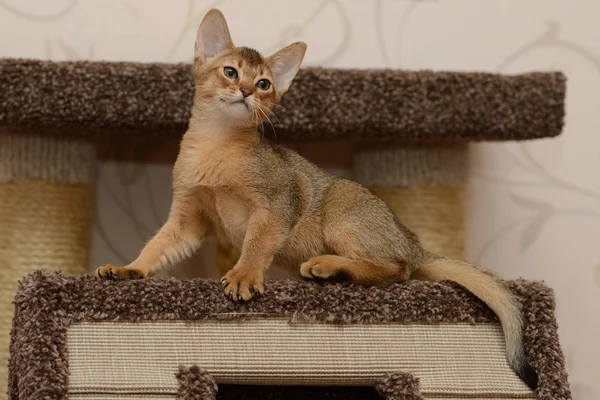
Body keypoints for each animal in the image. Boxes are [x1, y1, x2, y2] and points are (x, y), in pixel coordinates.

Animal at [95, 8, 540, 390]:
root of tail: (411, 241)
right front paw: (128, 269)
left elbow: (256, 246)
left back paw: (329, 267)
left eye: (264, 84)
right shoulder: (188, 217)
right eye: (230, 71)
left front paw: (243, 276)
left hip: (341, 209)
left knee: (397, 270)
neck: (214, 148)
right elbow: (157, 248)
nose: (245, 91)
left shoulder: (276, 205)